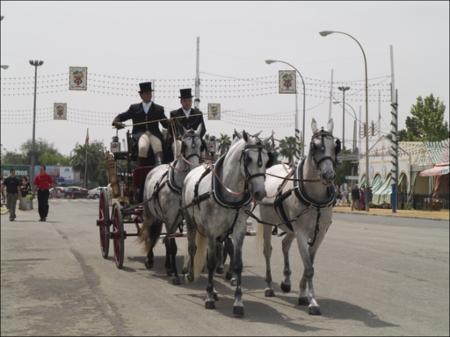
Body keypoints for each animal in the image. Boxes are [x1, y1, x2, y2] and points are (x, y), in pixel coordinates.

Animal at [140, 124, 203, 284]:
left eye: (201, 145)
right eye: (184, 146)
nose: (194, 167)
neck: (181, 185)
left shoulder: (184, 218)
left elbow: (183, 244)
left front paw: (176, 270)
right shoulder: (170, 216)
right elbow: (173, 246)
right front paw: (175, 274)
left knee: (166, 238)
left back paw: (168, 266)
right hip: (150, 213)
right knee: (151, 233)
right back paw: (150, 260)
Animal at [180, 131, 270, 316]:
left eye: (266, 160)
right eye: (248, 159)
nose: (260, 193)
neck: (230, 193)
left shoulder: (238, 230)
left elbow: (237, 263)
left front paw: (238, 302)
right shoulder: (212, 230)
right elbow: (211, 262)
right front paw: (208, 297)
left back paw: (214, 291)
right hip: (191, 221)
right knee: (192, 247)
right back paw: (190, 275)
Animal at [255, 117, 340, 314]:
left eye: (335, 146)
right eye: (314, 147)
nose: (329, 175)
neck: (315, 198)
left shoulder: (320, 233)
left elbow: (310, 264)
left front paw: (303, 295)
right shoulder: (301, 232)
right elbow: (308, 267)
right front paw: (313, 302)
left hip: (289, 226)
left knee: (285, 245)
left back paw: (286, 281)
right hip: (268, 223)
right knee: (268, 250)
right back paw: (269, 286)